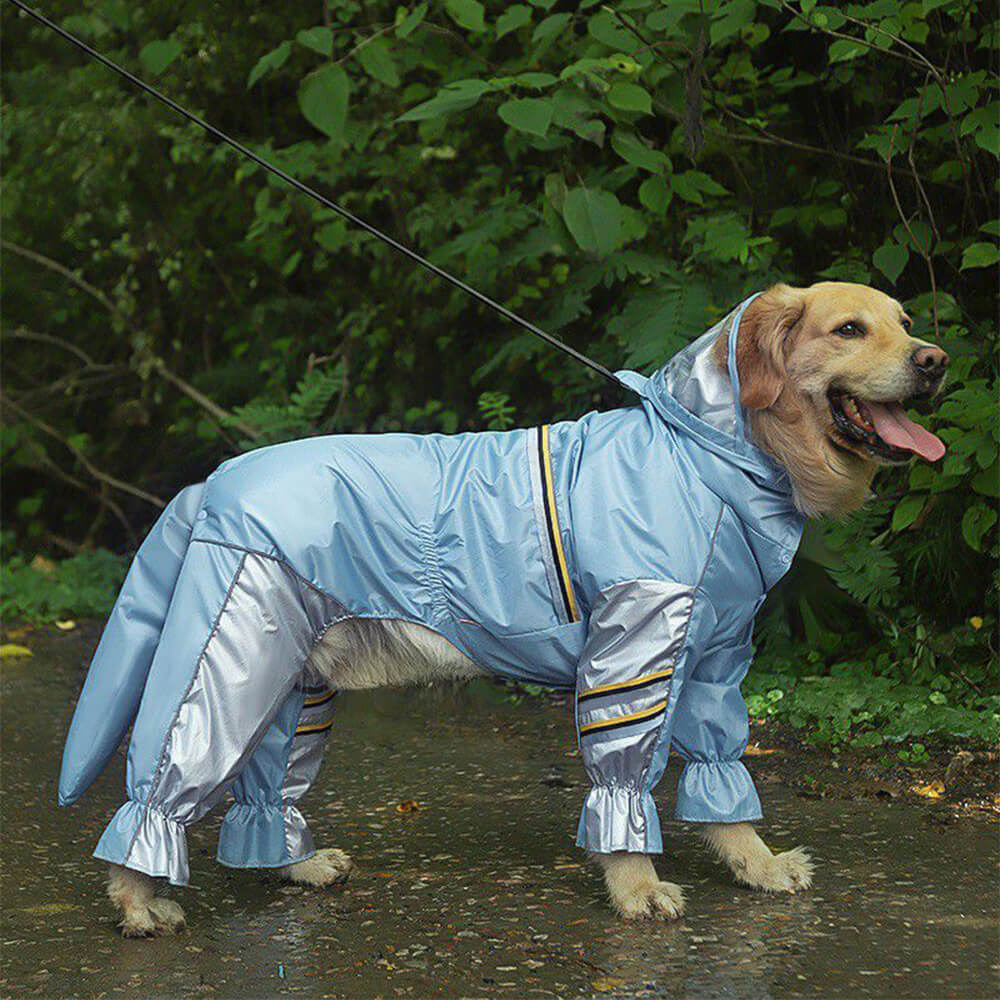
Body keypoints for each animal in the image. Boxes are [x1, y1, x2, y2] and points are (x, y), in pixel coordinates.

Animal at [58, 280, 948, 928]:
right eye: (849, 329)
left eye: (904, 321)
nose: (937, 360)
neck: (709, 455)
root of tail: (215, 478)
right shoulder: (636, 654)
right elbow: (624, 782)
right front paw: (636, 887)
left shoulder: (712, 665)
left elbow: (724, 776)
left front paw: (758, 867)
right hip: (231, 654)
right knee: (164, 783)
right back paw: (140, 900)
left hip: (292, 682)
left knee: (263, 787)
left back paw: (296, 864)